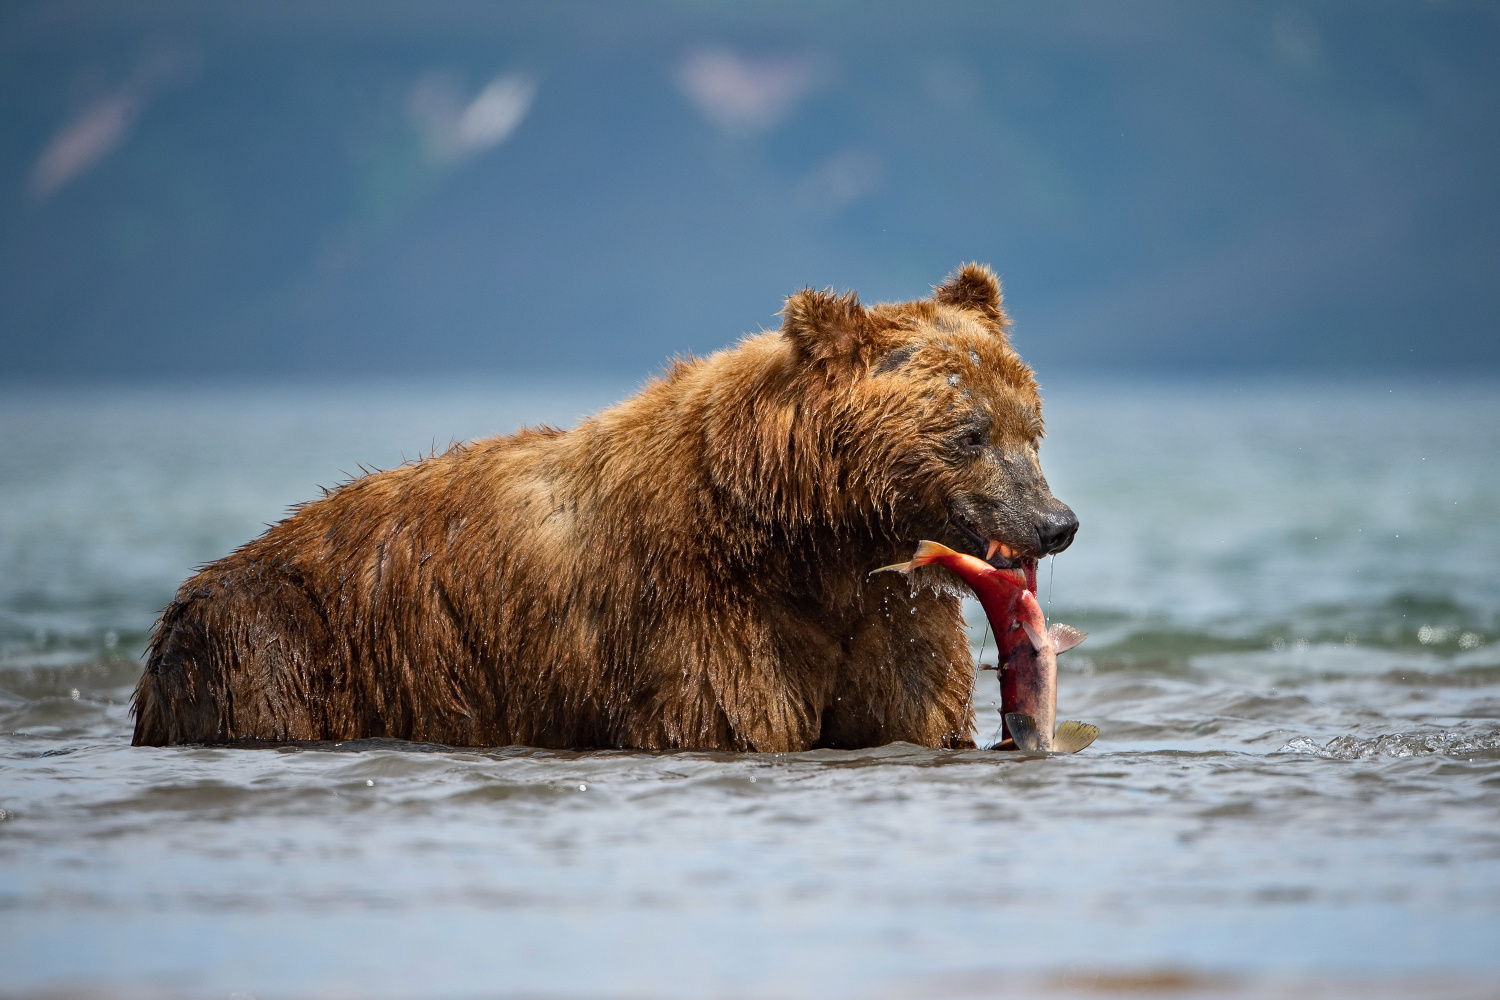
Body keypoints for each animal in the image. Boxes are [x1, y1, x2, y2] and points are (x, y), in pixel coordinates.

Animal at [129, 265, 1074, 749]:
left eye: (1032, 426)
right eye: (971, 432)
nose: (1055, 522)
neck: (811, 537)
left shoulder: (882, 612)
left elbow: (909, 710)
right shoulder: (700, 610)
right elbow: (727, 718)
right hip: (278, 639)